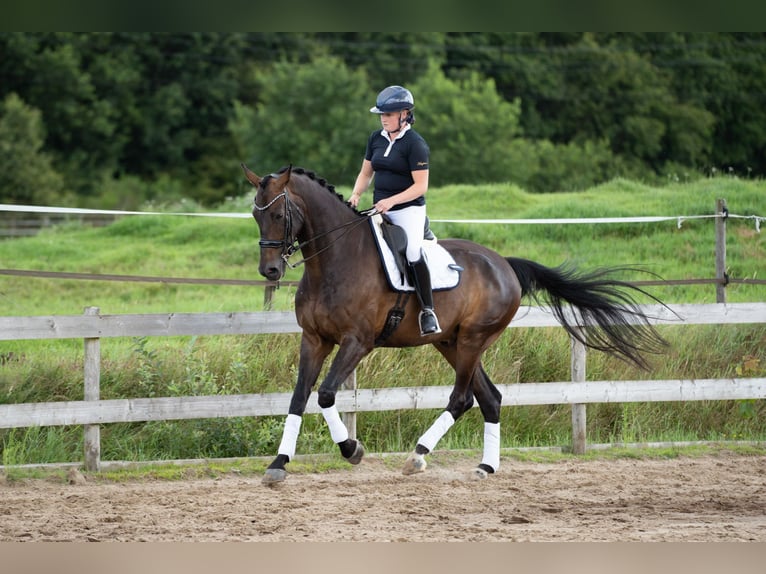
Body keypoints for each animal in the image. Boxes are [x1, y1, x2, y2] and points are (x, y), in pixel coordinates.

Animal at [242, 164, 668, 485]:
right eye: (255, 215)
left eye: (278, 214)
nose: (270, 271)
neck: (334, 261)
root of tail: (504, 264)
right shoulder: (314, 339)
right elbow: (299, 396)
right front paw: (278, 464)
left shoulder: (356, 341)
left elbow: (327, 395)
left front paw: (353, 450)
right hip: (451, 342)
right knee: (490, 397)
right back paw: (485, 466)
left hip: (473, 340)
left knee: (463, 398)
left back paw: (418, 456)